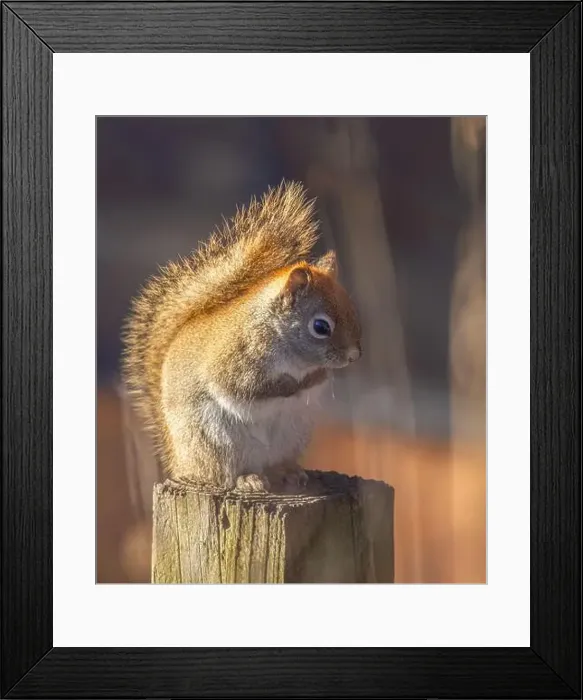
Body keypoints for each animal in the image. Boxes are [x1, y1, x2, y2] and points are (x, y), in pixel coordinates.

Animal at [121, 181, 362, 493]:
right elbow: (243, 388)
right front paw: (288, 386)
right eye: (321, 327)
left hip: (291, 436)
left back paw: (288, 473)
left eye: (352, 308)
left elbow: (317, 378)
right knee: (223, 475)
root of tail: (181, 463)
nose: (354, 356)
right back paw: (248, 478)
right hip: (215, 441)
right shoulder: (233, 361)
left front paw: (311, 380)